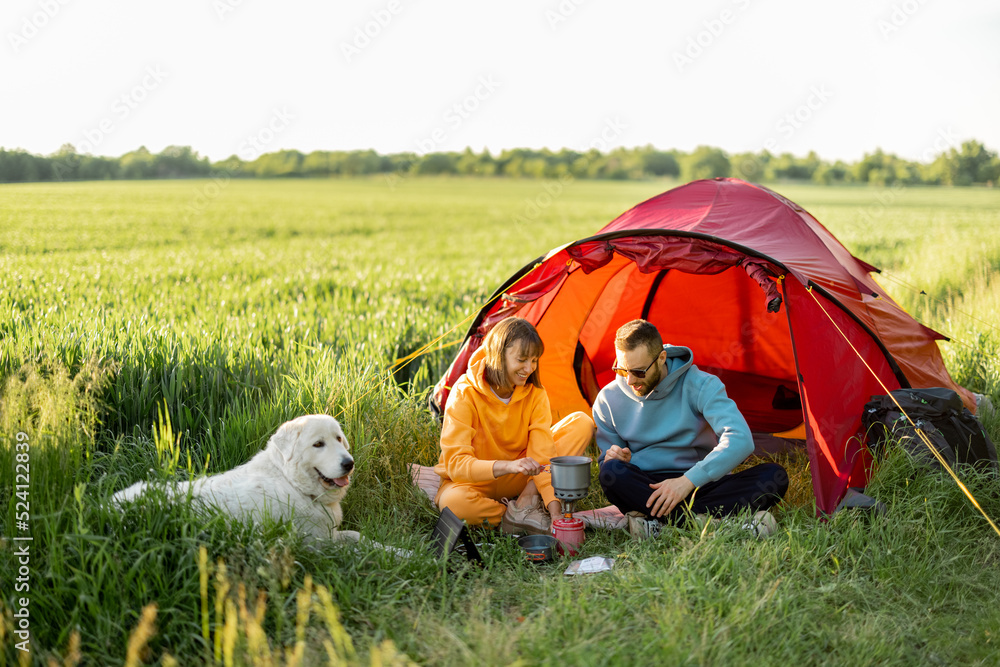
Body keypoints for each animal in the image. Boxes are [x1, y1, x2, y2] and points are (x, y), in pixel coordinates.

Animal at [114, 414, 364, 544]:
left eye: (338, 439)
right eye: (318, 444)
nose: (349, 463)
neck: (292, 483)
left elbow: (357, 536)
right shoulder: (318, 543)